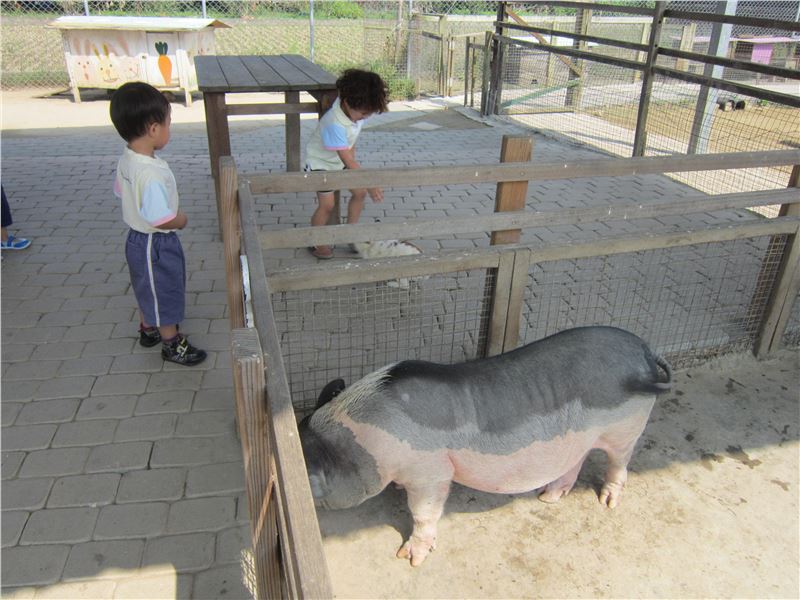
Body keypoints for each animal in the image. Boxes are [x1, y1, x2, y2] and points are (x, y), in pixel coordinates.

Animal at [299, 326, 672, 566]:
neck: (357, 442)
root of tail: (645, 352)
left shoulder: (429, 472)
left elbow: (423, 513)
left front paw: (409, 559)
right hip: (577, 440)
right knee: (575, 462)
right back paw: (548, 497)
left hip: (626, 427)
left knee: (619, 461)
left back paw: (607, 502)